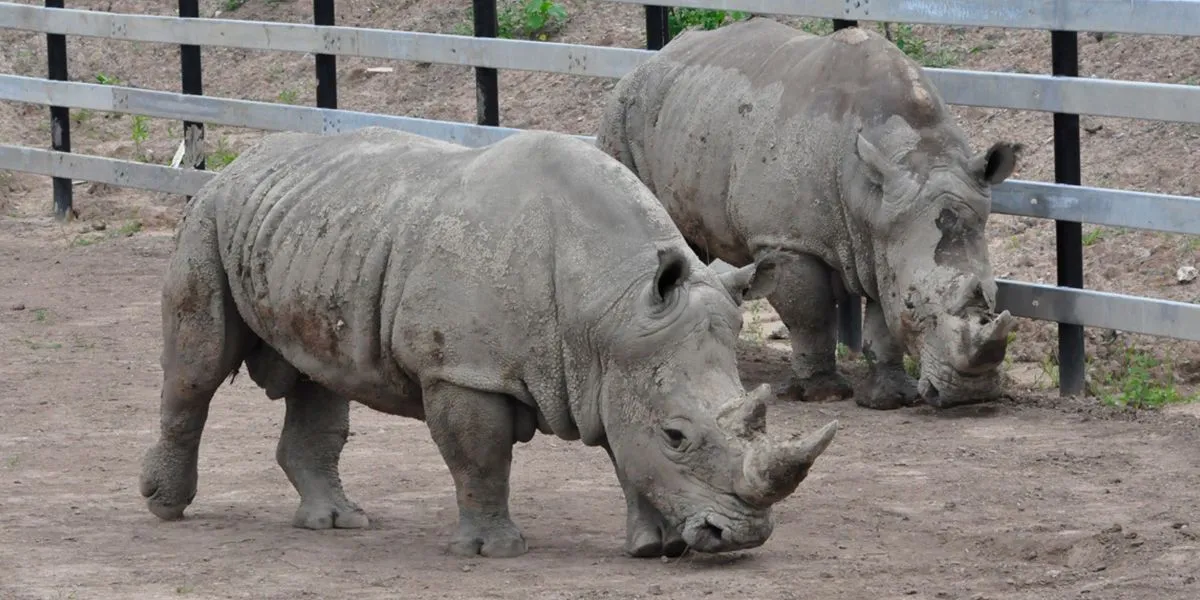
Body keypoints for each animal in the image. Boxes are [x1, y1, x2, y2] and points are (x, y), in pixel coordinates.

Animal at [138, 126, 839, 559]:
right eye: (678, 435)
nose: (742, 537)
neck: (608, 309)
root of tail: (239, 164)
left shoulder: (625, 362)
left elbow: (625, 453)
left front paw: (654, 547)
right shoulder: (463, 368)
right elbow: (480, 457)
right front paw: (493, 552)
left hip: (311, 231)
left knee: (318, 376)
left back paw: (339, 523)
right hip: (209, 218)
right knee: (197, 369)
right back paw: (165, 507)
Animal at [596, 18, 1020, 410]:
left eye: (994, 295)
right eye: (914, 305)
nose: (970, 395)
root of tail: (653, 58)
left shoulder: (885, 237)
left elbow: (882, 317)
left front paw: (891, 398)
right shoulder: (788, 241)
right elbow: (810, 315)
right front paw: (823, 393)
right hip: (623, 110)